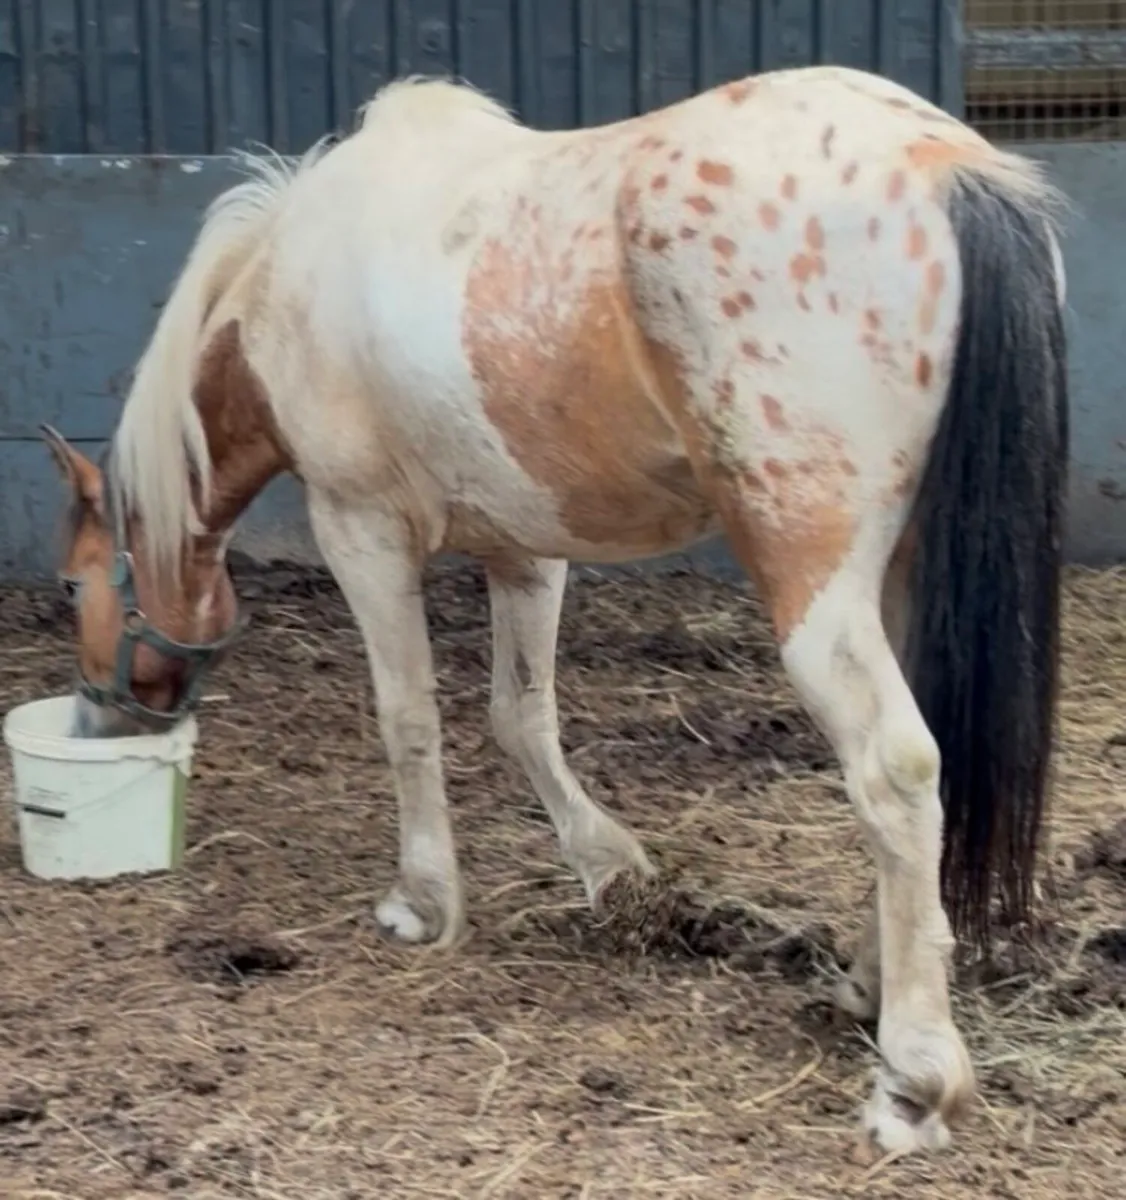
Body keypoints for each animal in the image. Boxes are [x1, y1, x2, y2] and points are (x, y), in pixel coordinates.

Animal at [41, 65, 1069, 1156]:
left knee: (894, 769)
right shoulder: (525, 551)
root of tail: (943, 165)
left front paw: (423, 902)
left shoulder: (361, 532)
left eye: (72, 585)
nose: (100, 721)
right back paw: (869, 988)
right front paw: (611, 868)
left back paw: (914, 1077)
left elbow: (408, 720)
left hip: (816, 581)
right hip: (904, 572)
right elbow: (520, 716)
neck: (288, 284)